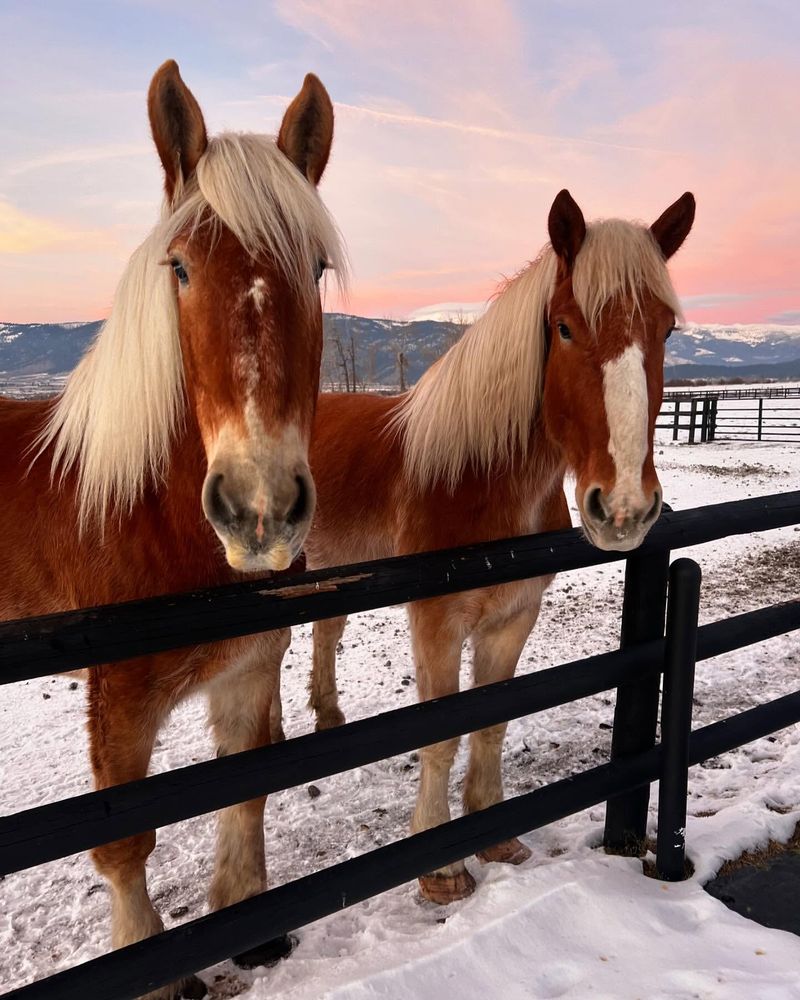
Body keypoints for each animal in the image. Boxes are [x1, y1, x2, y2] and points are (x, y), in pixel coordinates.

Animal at [3, 62, 346, 1000]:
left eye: (315, 266)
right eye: (182, 268)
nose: (259, 507)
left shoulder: (249, 668)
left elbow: (247, 787)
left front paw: (250, 925)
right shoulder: (118, 699)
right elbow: (125, 844)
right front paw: (151, 968)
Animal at [270, 188, 692, 908]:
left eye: (665, 331)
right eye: (566, 328)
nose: (625, 509)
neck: (475, 478)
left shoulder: (512, 619)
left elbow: (491, 722)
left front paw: (495, 837)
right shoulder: (437, 626)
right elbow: (441, 735)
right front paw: (440, 870)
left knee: (326, 633)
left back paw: (329, 718)